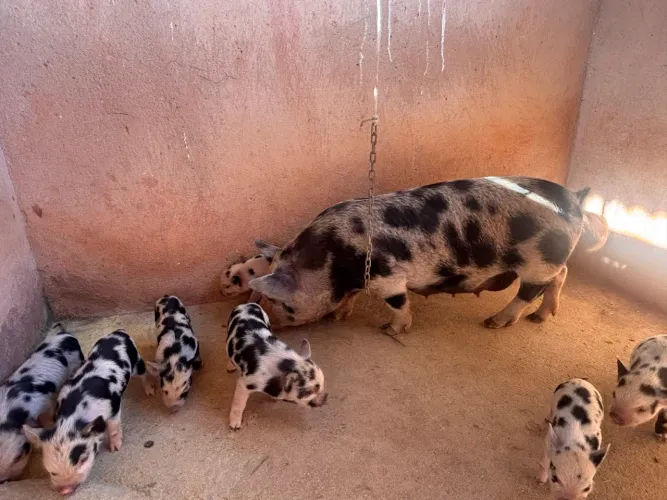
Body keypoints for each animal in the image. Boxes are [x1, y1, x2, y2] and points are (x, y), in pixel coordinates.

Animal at [23, 330, 153, 495]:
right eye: (52, 472)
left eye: (82, 460)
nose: (66, 490)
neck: (72, 416)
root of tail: (119, 332)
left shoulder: (113, 406)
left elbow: (113, 428)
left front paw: (115, 448)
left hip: (136, 360)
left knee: (143, 372)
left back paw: (150, 391)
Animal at [248, 177, 609, 333]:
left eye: (278, 300)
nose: (268, 321)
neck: (332, 260)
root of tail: (574, 199)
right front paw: (339, 316)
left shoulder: (388, 276)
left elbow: (398, 303)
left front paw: (391, 330)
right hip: (550, 261)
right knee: (561, 276)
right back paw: (542, 317)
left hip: (537, 261)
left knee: (529, 290)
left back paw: (494, 323)